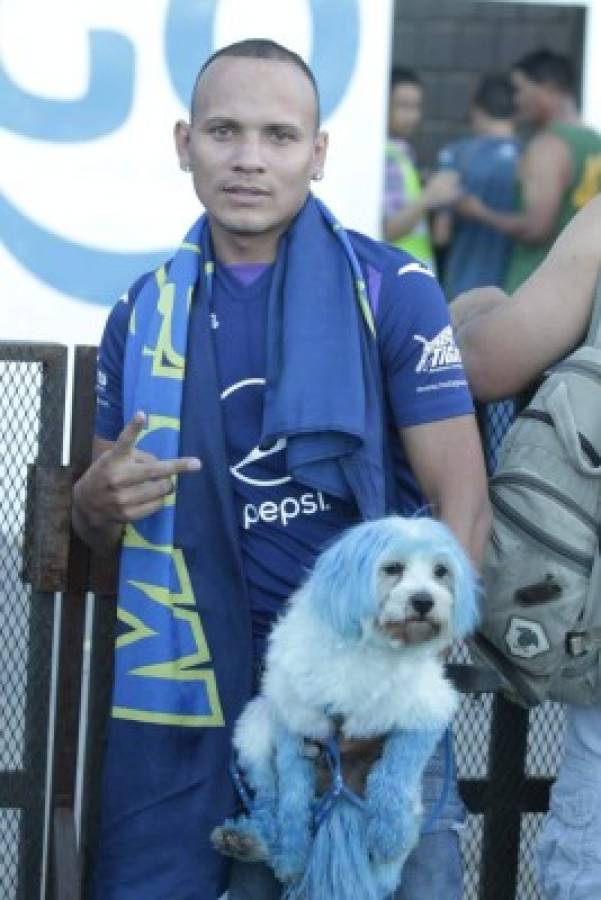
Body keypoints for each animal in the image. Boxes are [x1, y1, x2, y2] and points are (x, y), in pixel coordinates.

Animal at [212, 512, 478, 900]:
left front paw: (387, 835)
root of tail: (339, 799)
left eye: (440, 571)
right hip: (253, 732)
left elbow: (394, 775)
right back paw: (249, 839)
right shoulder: (296, 723)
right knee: (267, 801)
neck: (375, 646)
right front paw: (292, 856)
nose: (424, 601)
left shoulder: (426, 715)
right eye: (393, 568)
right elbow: (291, 799)